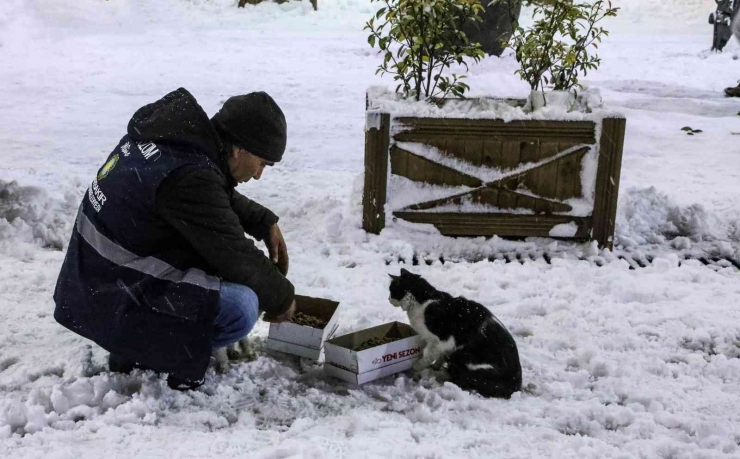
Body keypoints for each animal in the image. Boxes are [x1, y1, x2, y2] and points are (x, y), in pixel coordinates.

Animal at [388, 270, 520, 398]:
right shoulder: (446, 345)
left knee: (462, 380)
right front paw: (435, 366)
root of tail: (515, 383)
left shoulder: (440, 339)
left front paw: (417, 366)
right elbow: (440, 356)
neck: (424, 299)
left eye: (391, 291)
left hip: (464, 356)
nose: (388, 299)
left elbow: (428, 355)